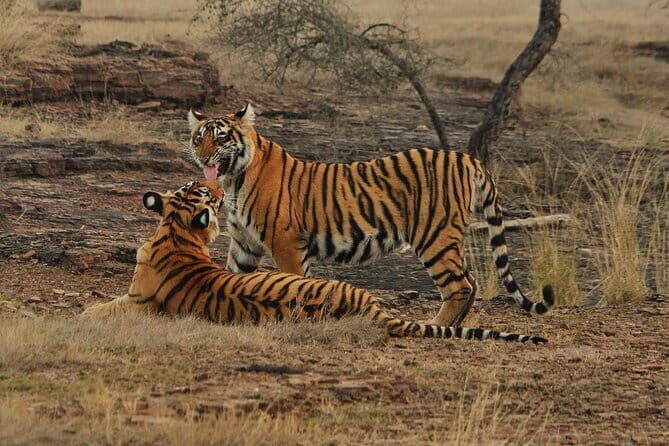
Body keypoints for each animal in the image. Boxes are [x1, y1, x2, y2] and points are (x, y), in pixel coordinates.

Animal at [81, 180, 547, 344]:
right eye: (200, 190)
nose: (219, 190)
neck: (177, 232)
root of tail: (372, 308)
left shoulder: (137, 302)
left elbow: (103, 307)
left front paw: (85, 313)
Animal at [186, 104, 554, 328]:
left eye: (221, 138)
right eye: (198, 138)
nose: (202, 158)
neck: (234, 179)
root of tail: (467, 158)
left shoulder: (286, 242)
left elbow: (295, 284)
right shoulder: (244, 244)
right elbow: (230, 279)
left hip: (434, 236)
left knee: (460, 286)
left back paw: (435, 327)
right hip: (446, 238)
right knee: (472, 282)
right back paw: (451, 328)